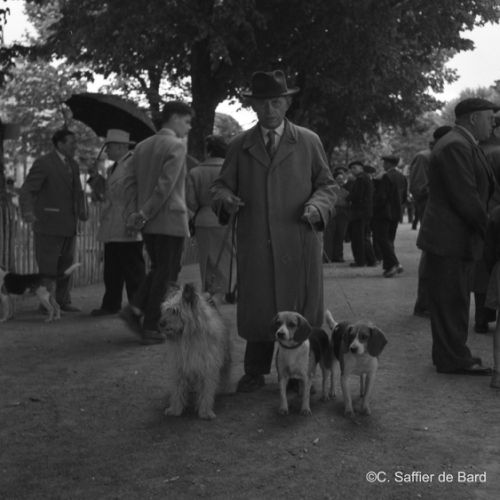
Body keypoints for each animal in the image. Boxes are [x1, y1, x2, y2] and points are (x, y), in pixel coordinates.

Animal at [158, 283, 231, 420]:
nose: (161, 323)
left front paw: (205, 412)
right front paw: (175, 409)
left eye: (176, 311)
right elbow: (177, 390)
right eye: (166, 310)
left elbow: (206, 391)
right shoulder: (179, 368)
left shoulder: (207, 369)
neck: (188, 339)